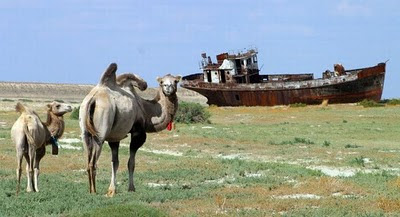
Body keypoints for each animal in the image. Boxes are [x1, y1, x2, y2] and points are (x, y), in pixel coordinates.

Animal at [79, 63, 180, 197]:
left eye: (176, 81)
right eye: (162, 82)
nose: (168, 87)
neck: (145, 111)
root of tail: (93, 99)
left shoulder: (114, 137)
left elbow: (115, 162)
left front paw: (112, 190)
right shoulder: (138, 132)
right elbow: (131, 163)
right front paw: (131, 188)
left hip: (85, 131)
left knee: (88, 158)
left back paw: (91, 190)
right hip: (100, 132)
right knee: (93, 162)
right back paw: (94, 191)